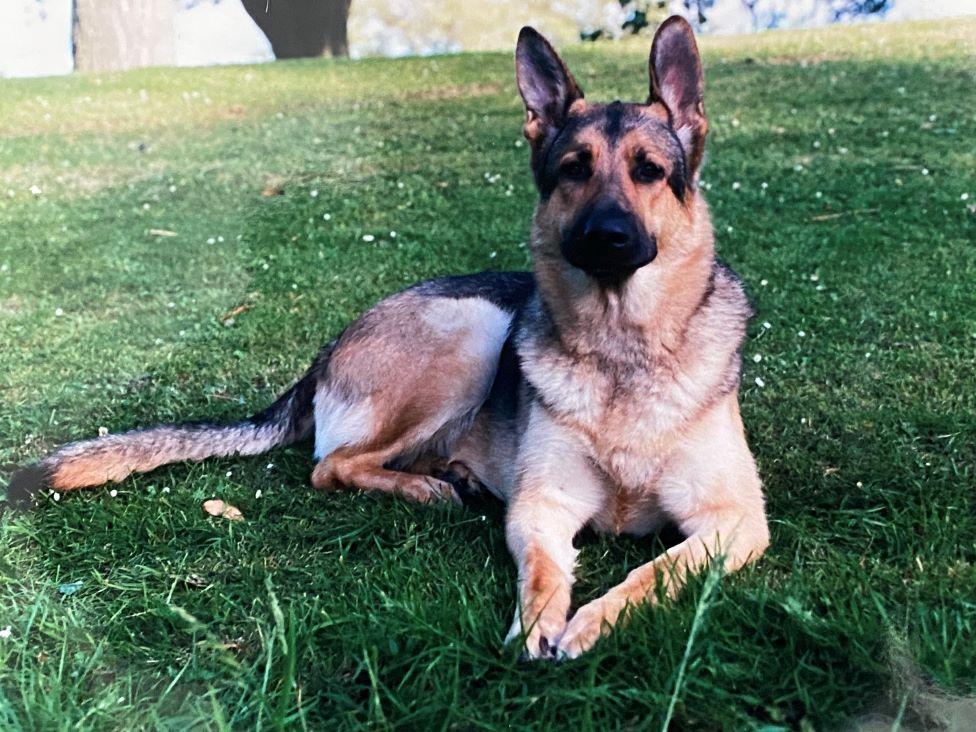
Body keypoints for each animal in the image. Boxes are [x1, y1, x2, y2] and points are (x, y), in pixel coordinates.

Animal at [7, 15, 772, 656]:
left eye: (649, 171)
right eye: (573, 170)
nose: (606, 237)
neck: (621, 353)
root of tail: (325, 352)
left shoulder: (734, 521)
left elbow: (655, 572)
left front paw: (590, 621)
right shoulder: (541, 509)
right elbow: (542, 574)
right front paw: (538, 623)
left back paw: (448, 474)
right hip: (472, 331)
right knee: (330, 465)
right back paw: (429, 487)